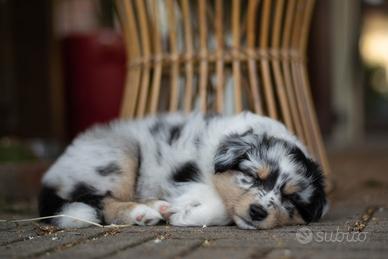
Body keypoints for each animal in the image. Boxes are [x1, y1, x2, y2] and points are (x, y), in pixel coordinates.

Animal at [38, 112, 328, 231]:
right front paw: (184, 214)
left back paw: (158, 207)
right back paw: (141, 213)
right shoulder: (189, 177)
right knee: (101, 200)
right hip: (121, 154)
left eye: (290, 198)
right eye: (252, 177)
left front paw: (178, 211)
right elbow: (223, 205)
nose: (257, 212)